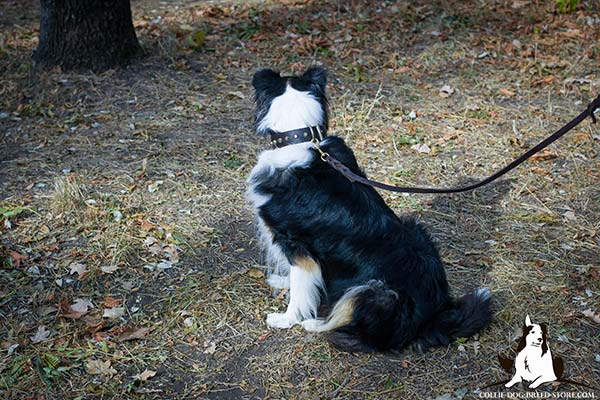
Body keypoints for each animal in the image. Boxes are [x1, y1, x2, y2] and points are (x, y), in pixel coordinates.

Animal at [246, 67, 490, 352]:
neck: (300, 138)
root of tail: (431, 320)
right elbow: (301, 278)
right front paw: (283, 281)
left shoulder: (295, 243)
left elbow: (300, 286)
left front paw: (287, 319)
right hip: (416, 231)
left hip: (375, 292)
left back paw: (316, 324)